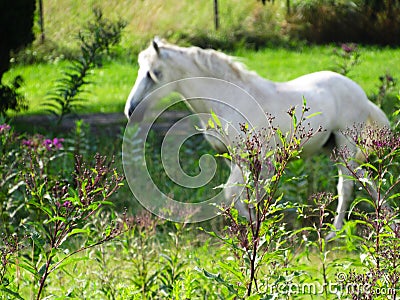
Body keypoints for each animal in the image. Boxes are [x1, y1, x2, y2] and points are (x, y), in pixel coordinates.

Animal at [123, 38, 390, 234]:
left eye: (154, 73)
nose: (131, 110)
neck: (227, 100)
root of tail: (361, 94)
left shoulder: (249, 157)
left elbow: (233, 196)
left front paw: (259, 230)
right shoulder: (235, 159)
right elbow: (244, 196)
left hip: (345, 146)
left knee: (346, 186)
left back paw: (334, 233)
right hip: (334, 149)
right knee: (366, 179)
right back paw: (386, 218)